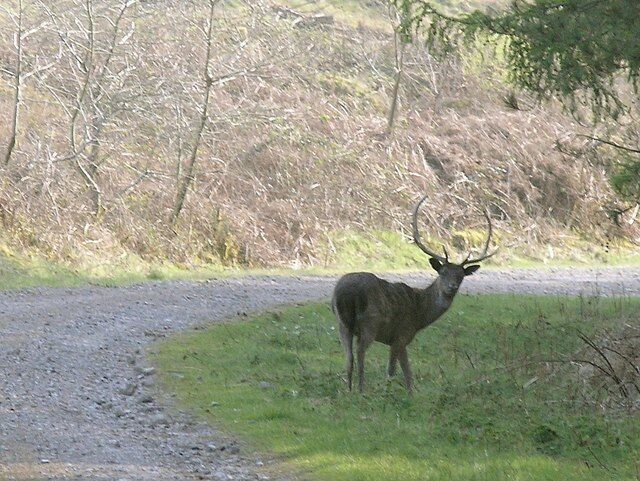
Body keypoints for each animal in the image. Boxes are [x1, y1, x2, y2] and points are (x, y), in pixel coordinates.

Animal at [331, 195, 497, 394]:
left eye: (461, 276)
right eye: (443, 273)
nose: (452, 287)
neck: (420, 315)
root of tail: (346, 293)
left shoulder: (398, 339)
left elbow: (406, 374)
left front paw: (409, 394)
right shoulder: (401, 335)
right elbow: (395, 371)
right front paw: (392, 392)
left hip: (342, 323)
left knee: (348, 357)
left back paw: (348, 391)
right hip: (370, 322)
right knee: (360, 352)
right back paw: (361, 389)